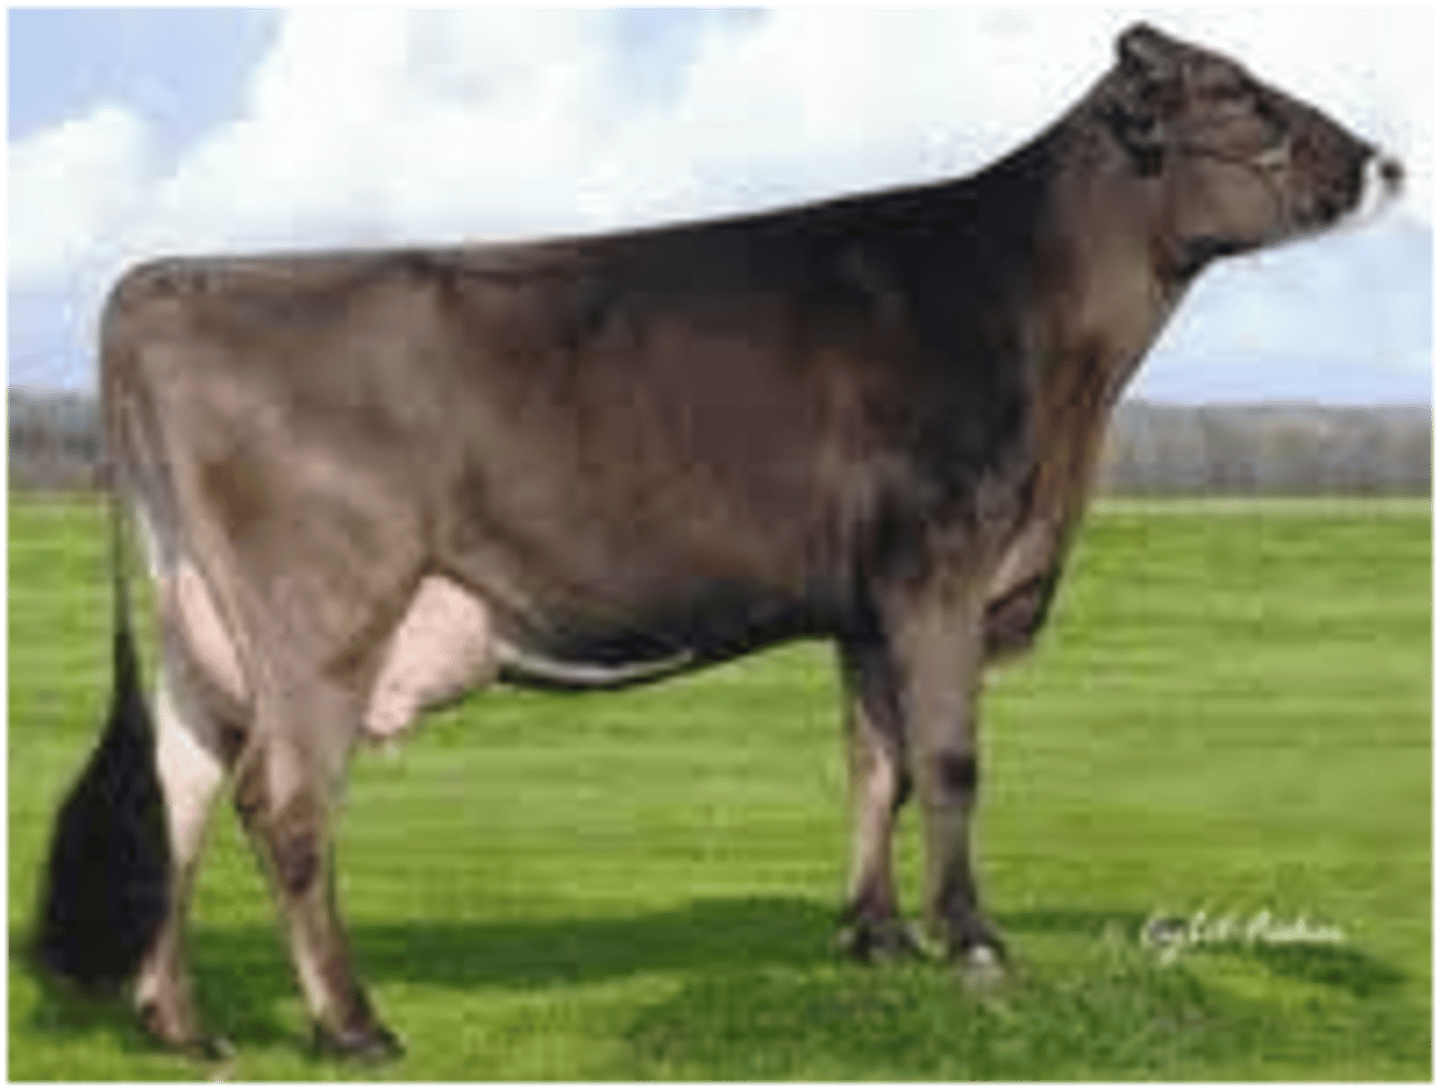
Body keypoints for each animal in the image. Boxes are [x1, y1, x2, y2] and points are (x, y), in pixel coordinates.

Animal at [33, 24, 1401, 1060]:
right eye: (1239, 94)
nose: (1385, 161)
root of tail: (163, 281)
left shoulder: (864, 602)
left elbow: (875, 764)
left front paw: (876, 940)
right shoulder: (940, 564)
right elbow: (950, 759)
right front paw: (975, 944)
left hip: (202, 630)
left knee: (179, 791)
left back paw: (181, 1026)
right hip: (323, 610)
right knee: (284, 800)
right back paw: (354, 1026)